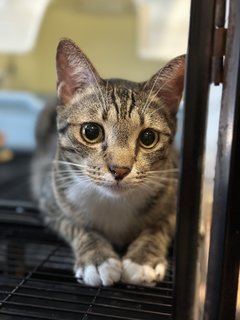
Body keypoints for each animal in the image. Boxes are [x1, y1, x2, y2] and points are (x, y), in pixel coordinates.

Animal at [31, 38, 186, 286]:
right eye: (91, 132)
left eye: (148, 138)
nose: (120, 169)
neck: (114, 203)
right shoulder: (52, 200)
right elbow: (77, 226)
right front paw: (97, 259)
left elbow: (159, 226)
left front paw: (143, 260)